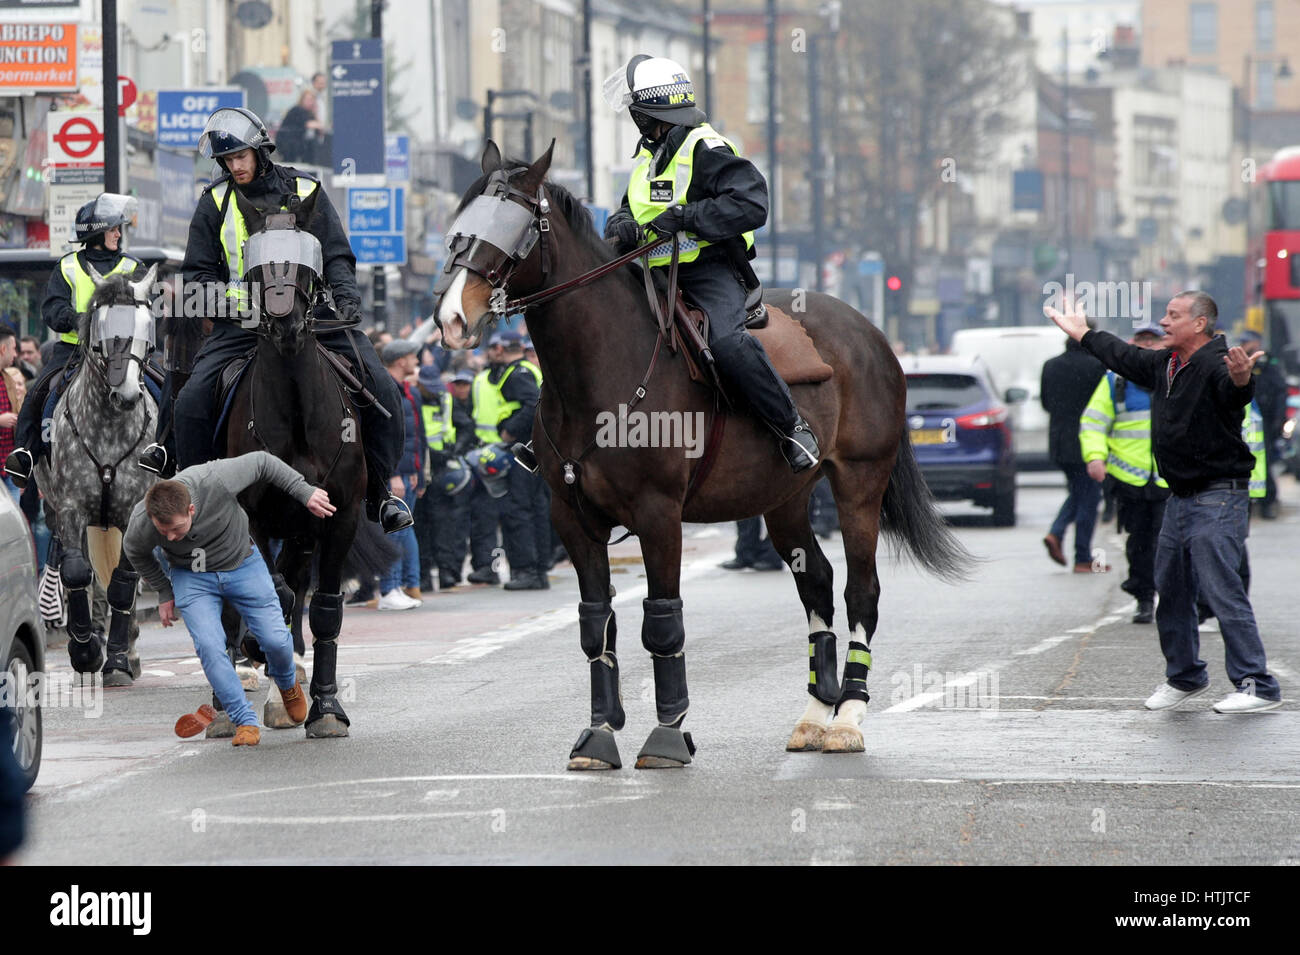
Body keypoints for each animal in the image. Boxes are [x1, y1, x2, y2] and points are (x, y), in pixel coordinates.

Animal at [34, 266, 160, 686]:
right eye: (104, 331)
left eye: (147, 329)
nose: (127, 395)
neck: (108, 424)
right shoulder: (71, 509)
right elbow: (76, 573)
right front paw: (85, 651)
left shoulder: (133, 511)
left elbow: (123, 584)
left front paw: (117, 661)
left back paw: (130, 654)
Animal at [218, 203, 367, 738]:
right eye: (256, 264)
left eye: (306, 261)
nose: (285, 325)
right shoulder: (249, 518)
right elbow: (269, 590)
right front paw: (259, 651)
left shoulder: (341, 517)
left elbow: (322, 608)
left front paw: (325, 707)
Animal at [435, 142, 969, 769]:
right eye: (459, 222)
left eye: (515, 225)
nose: (451, 319)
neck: (600, 369)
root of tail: (872, 333)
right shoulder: (572, 520)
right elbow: (596, 626)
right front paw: (599, 734)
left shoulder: (658, 515)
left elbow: (662, 622)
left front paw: (668, 735)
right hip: (785, 497)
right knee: (815, 581)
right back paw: (816, 714)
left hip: (860, 482)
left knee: (861, 591)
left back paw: (847, 719)